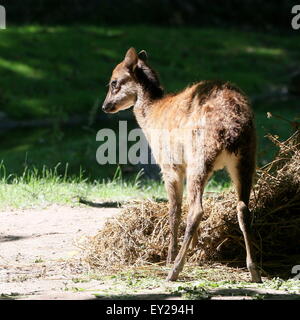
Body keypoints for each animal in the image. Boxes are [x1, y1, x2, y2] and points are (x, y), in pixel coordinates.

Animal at [102, 47, 262, 282]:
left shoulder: (169, 164)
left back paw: (174, 270)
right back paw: (254, 271)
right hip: (246, 157)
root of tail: (233, 129)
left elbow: (175, 209)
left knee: (197, 209)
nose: (105, 106)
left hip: (199, 155)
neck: (152, 115)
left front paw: (170, 256)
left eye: (114, 82)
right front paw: (194, 247)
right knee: (242, 207)